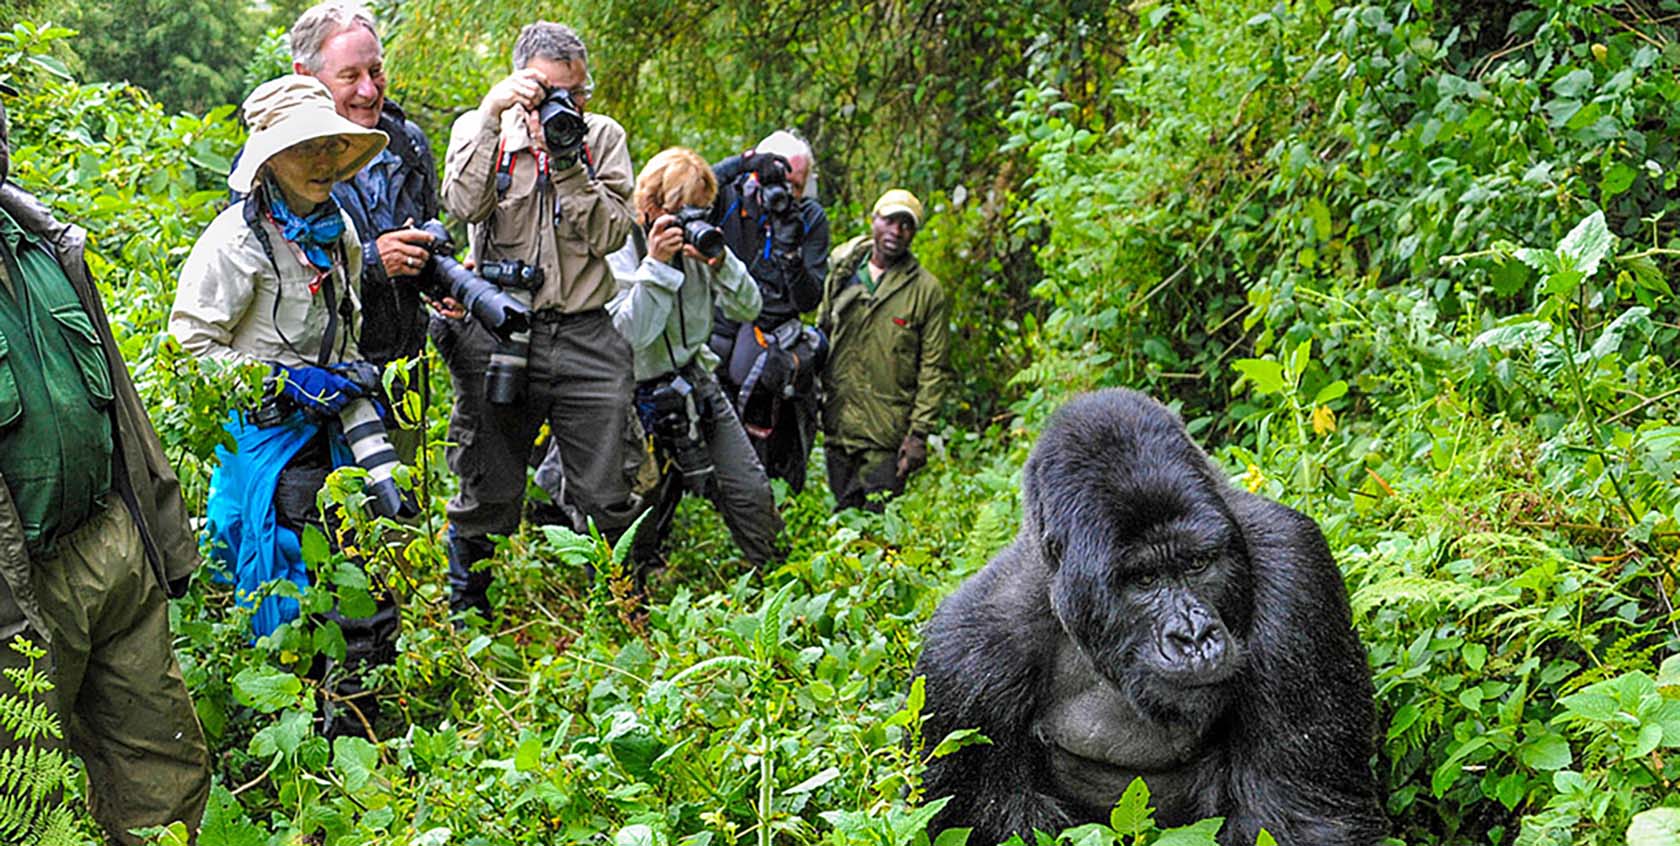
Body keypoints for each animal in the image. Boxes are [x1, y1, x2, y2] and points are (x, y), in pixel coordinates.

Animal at [913, 389, 1384, 846]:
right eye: (1144, 579)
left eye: (1197, 563)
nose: (1194, 636)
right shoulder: (964, 661)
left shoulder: (1295, 569)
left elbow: (1300, 817)